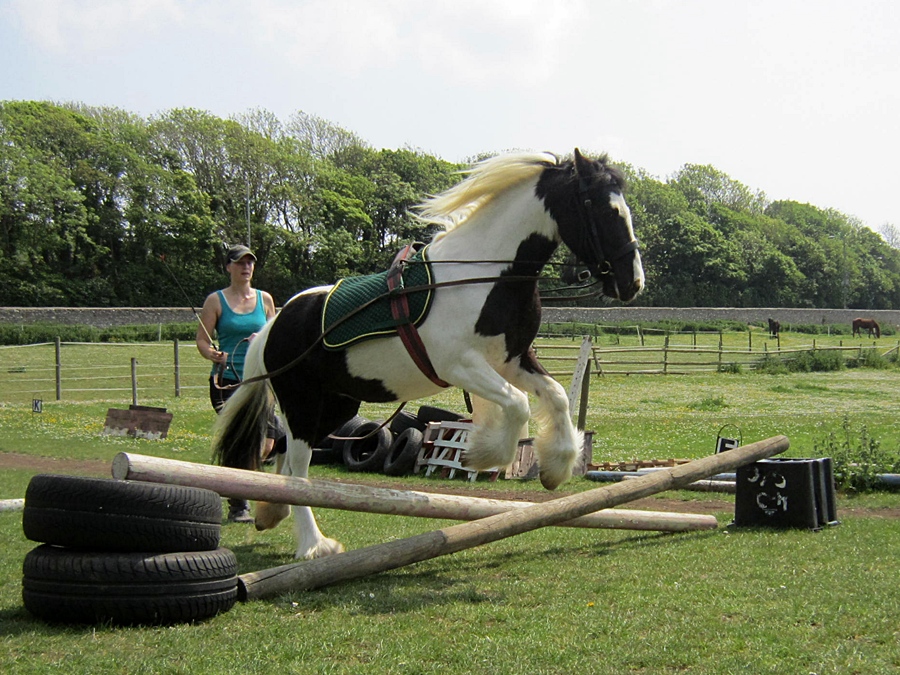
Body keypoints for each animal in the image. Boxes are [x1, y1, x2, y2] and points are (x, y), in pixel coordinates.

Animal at [212, 149, 645, 559]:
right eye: (603, 208)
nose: (633, 283)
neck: (487, 277)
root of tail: (275, 323)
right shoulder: (460, 366)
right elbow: (518, 404)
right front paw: (483, 455)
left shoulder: (512, 359)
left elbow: (554, 396)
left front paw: (556, 467)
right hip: (301, 401)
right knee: (299, 465)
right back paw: (314, 545)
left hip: (336, 405)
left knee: (285, 454)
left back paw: (273, 513)